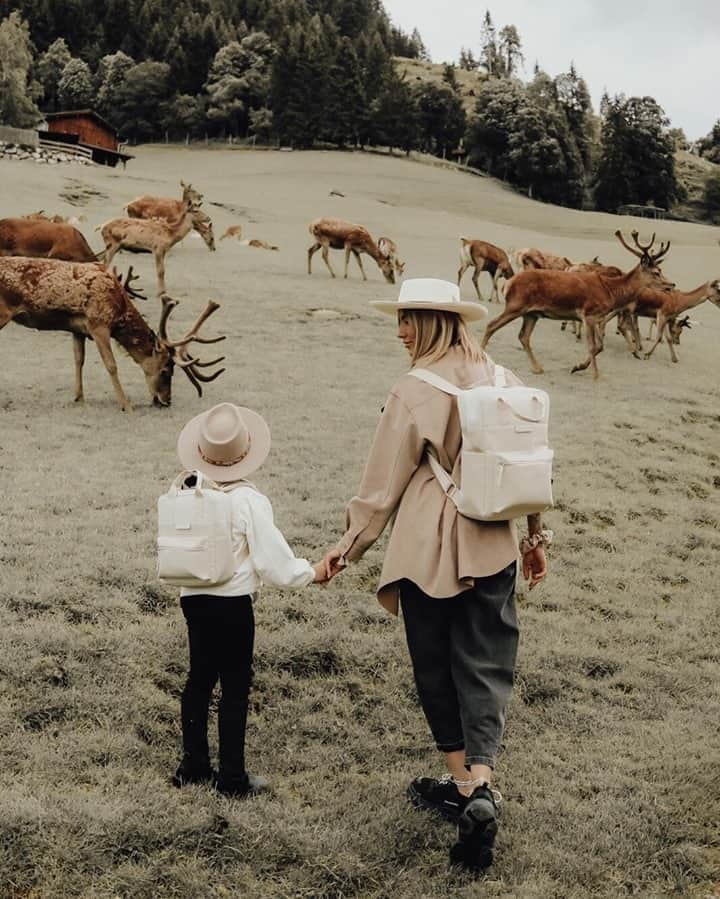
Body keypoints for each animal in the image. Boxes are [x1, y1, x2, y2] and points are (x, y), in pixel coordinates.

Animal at [0, 256, 225, 412]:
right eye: (166, 371)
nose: (166, 400)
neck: (119, 311)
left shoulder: (77, 329)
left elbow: (78, 359)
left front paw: (79, 397)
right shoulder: (99, 324)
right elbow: (111, 365)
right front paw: (126, 404)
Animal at [484, 230, 676, 382]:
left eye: (661, 270)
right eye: (656, 272)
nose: (671, 284)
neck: (611, 291)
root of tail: (508, 283)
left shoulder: (596, 317)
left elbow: (600, 346)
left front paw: (576, 367)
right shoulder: (588, 314)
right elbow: (592, 346)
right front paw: (595, 375)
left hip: (532, 313)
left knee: (523, 336)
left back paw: (538, 368)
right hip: (515, 305)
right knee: (491, 325)